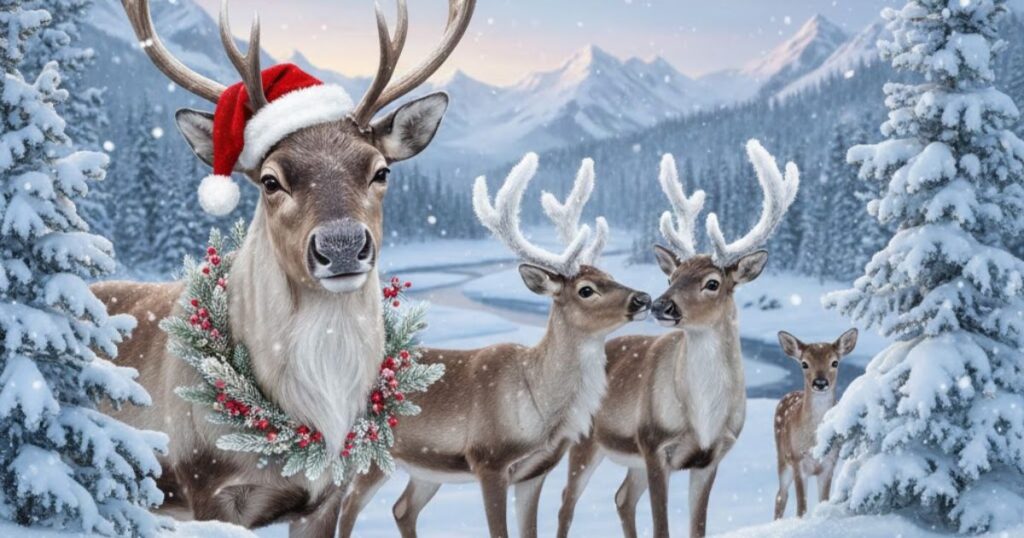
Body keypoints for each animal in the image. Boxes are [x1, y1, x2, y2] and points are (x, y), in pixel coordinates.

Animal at [336, 153, 652, 538]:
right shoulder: (489, 460)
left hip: (424, 468)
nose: (643, 298)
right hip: (371, 452)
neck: (539, 410)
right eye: (586, 290)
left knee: (401, 508)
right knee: (348, 507)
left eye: (610, 276)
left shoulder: (535, 472)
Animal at [556, 140, 801, 538]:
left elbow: (697, 526)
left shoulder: (709, 458)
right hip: (587, 440)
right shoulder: (655, 446)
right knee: (566, 502)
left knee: (621, 498)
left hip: (631, 459)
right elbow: (662, 527)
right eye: (673, 276)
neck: (702, 418)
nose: (659, 304)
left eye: (712, 283)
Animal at [772, 329, 858, 520]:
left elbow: (823, 500)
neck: (814, 442)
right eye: (804, 364)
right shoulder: (798, 460)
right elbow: (801, 507)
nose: (820, 382)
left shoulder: (829, 463)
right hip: (782, 458)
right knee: (781, 495)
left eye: (834, 362)